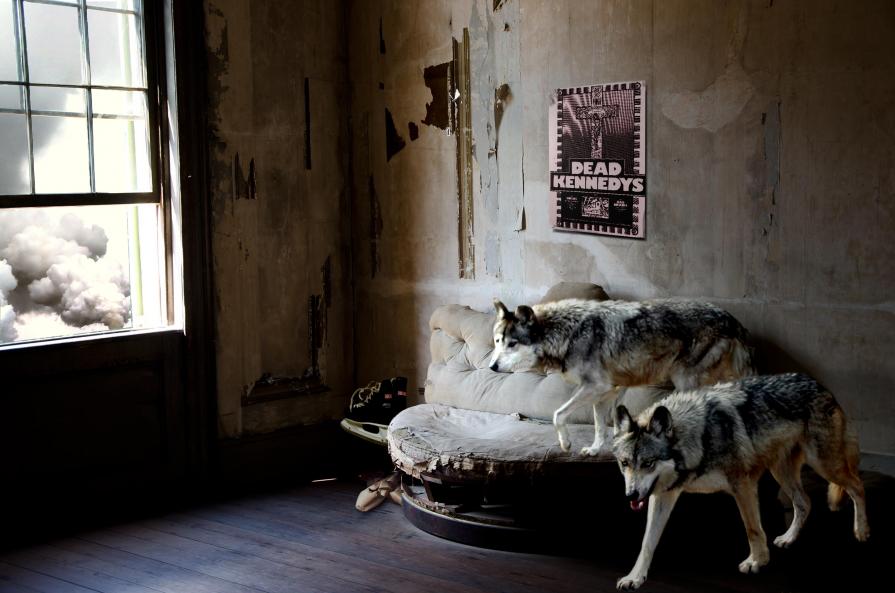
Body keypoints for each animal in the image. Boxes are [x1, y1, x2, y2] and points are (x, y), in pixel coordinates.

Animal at [489, 298, 753, 455]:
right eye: (498, 341)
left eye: (512, 344)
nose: (491, 366)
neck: (567, 333)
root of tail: (734, 321)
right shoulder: (608, 392)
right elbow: (602, 426)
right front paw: (596, 449)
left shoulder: (595, 387)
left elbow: (558, 415)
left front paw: (566, 444)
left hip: (686, 382)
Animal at [612, 373, 869, 590]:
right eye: (625, 463)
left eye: (648, 463)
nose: (630, 495)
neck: (700, 437)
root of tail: (820, 385)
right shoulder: (662, 495)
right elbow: (647, 542)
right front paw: (635, 577)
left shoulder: (743, 485)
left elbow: (752, 529)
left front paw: (757, 562)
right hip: (781, 472)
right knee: (805, 502)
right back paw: (788, 538)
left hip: (824, 465)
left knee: (857, 486)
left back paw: (862, 531)